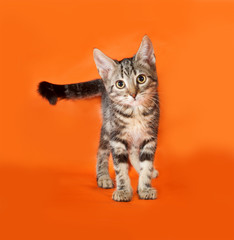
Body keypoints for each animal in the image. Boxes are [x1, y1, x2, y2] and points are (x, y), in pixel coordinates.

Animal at [38, 35, 159, 201]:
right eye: (120, 84)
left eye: (141, 78)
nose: (133, 94)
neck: (135, 113)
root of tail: (103, 81)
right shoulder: (116, 137)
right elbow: (120, 167)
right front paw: (123, 190)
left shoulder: (150, 135)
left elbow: (146, 163)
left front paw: (145, 186)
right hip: (108, 126)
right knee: (102, 151)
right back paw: (103, 177)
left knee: (133, 150)